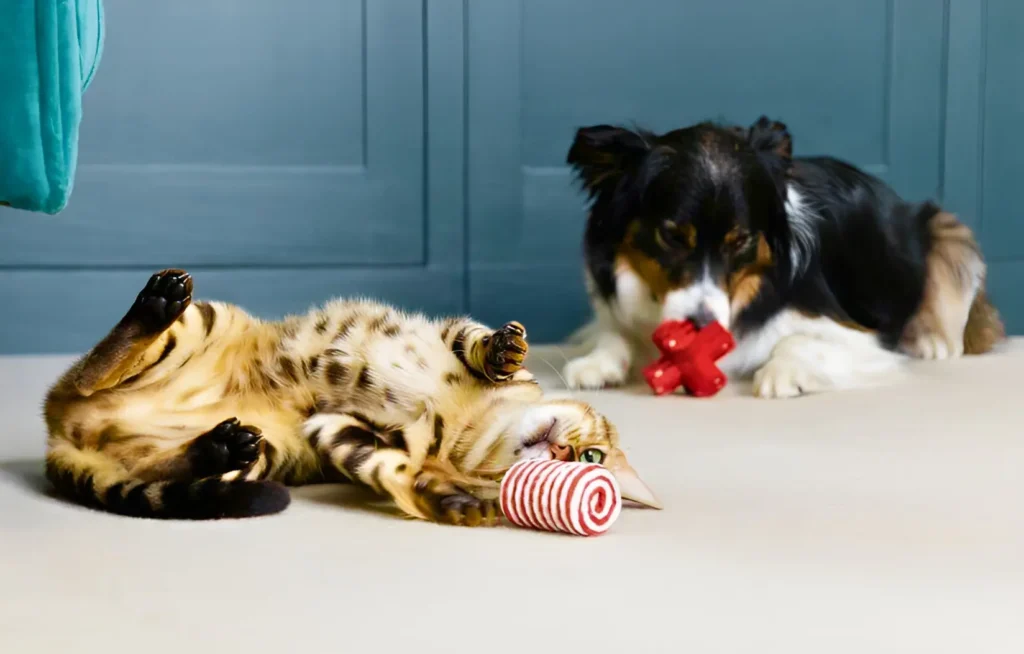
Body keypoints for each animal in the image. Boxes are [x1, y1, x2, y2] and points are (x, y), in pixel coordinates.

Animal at [44, 268, 659, 524]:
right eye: (591, 454)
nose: (561, 454)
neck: (474, 423)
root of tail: (64, 433)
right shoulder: (446, 330)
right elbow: (475, 341)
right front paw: (502, 351)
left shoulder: (338, 430)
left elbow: (394, 469)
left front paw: (447, 502)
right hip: (203, 322)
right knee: (94, 369)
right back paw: (157, 302)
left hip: (264, 455)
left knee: (172, 460)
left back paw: (216, 446)